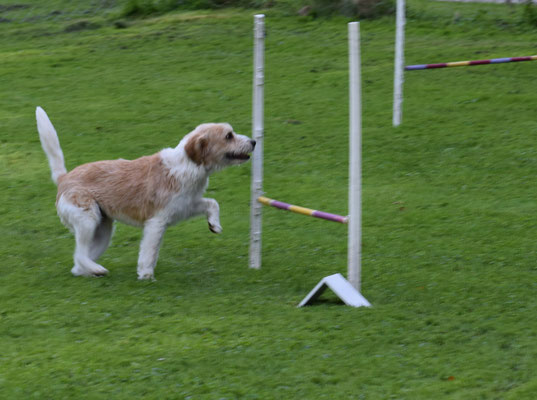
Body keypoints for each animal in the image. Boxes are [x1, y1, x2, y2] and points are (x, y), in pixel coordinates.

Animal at [37, 107, 255, 282]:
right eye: (228, 136)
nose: (253, 141)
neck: (188, 165)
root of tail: (63, 178)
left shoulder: (186, 206)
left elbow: (212, 202)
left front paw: (214, 225)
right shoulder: (156, 222)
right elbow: (149, 252)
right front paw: (146, 275)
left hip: (103, 231)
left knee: (77, 262)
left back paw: (90, 271)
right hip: (87, 220)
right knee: (80, 254)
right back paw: (98, 270)